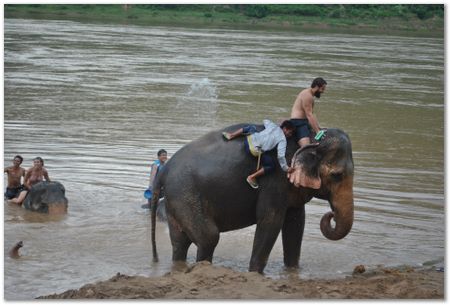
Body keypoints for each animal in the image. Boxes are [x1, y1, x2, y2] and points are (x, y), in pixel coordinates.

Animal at [149, 123, 354, 274]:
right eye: (337, 175)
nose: (331, 215)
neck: (309, 138)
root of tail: (164, 171)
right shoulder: (275, 181)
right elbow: (271, 220)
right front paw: (255, 274)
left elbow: (296, 223)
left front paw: (293, 271)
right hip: (185, 194)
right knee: (208, 237)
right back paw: (203, 269)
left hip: (177, 200)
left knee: (180, 242)